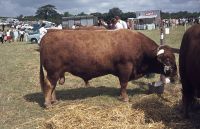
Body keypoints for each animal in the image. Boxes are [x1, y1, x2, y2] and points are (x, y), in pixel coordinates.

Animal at [39, 29, 177, 107]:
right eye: (167, 59)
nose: (175, 73)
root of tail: (47, 36)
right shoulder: (125, 68)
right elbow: (124, 84)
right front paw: (125, 98)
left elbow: (122, 85)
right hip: (53, 71)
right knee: (49, 85)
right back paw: (48, 103)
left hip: (56, 72)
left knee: (53, 86)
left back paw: (54, 100)